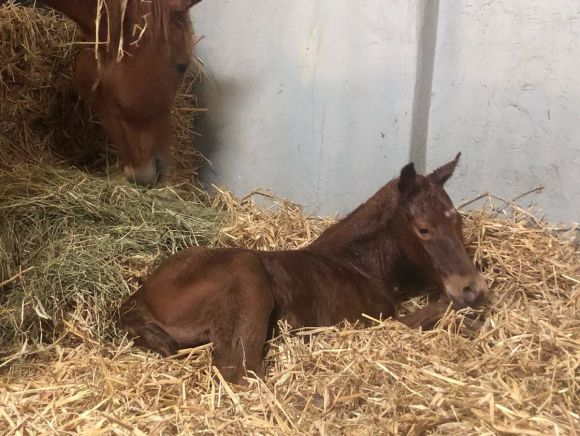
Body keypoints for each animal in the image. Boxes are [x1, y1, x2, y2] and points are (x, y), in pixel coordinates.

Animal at [120, 154, 488, 384]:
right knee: (241, 371)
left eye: (458, 220)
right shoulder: (369, 322)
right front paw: (469, 318)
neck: (358, 265)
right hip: (247, 272)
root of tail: (135, 301)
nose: (473, 288)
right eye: (424, 229)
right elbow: (433, 311)